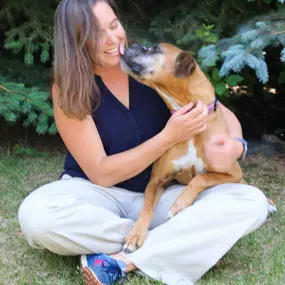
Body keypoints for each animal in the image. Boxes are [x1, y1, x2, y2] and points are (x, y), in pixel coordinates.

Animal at [118, 42, 274, 253]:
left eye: (153, 49)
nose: (133, 44)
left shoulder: (232, 173)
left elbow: (200, 178)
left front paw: (179, 204)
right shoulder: (156, 181)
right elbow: (146, 208)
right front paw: (135, 235)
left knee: (246, 186)